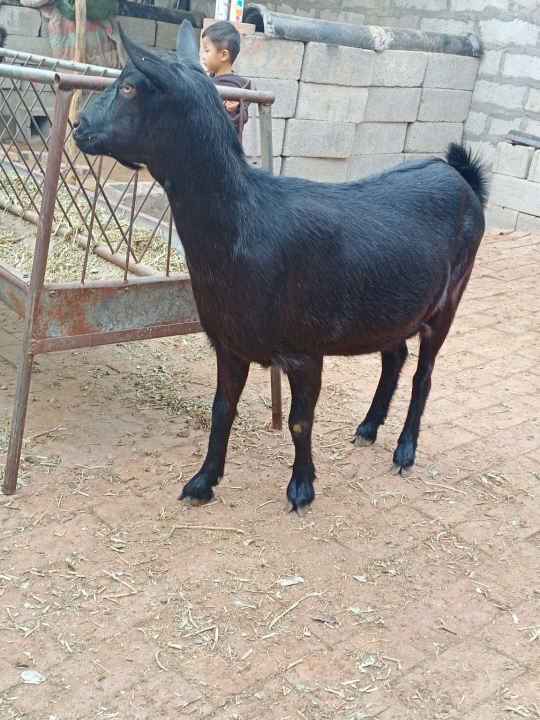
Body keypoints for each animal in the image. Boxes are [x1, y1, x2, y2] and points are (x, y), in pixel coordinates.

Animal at [73, 22, 490, 512]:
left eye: (130, 87)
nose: (79, 127)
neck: (244, 225)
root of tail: (459, 176)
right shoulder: (229, 342)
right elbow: (222, 411)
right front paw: (203, 481)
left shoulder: (305, 350)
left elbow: (298, 421)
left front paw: (302, 487)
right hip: (393, 306)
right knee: (396, 356)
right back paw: (369, 428)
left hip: (448, 301)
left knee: (424, 376)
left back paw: (405, 450)